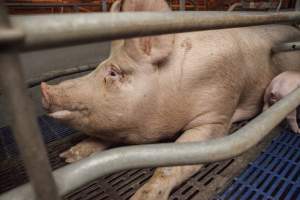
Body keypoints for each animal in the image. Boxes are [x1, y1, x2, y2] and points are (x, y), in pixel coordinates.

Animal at [39, 0, 300, 199]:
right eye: (99, 67)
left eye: (113, 73)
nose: (45, 90)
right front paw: (68, 157)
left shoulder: (216, 114)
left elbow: (170, 166)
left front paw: (141, 197)